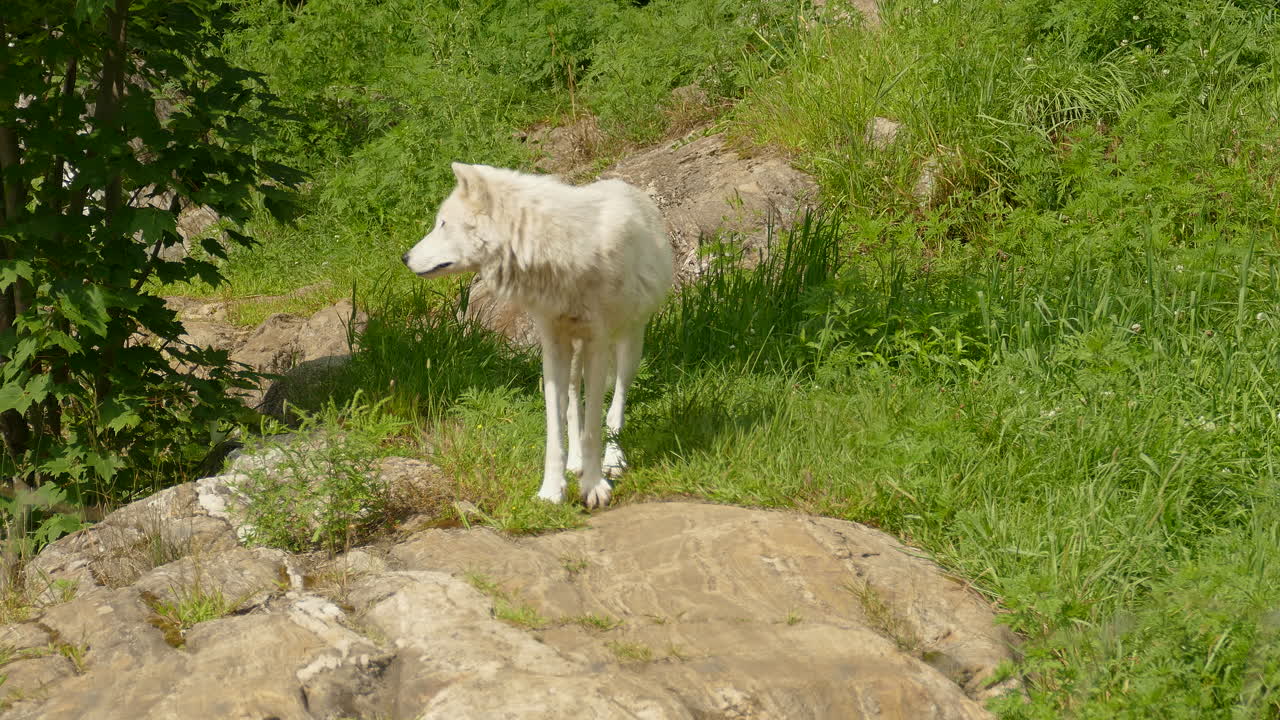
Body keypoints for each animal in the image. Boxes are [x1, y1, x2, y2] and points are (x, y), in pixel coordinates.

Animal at [403, 163, 673, 508]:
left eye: (443, 224)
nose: (405, 258)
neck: (560, 247)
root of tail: (626, 187)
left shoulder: (597, 344)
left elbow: (594, 428)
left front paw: (593, 486)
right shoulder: (553, 346)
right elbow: (556, 428)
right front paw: (552, 490)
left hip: (629, 344)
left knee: (616, 408)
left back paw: (612, 460)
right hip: (575, 351)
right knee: (573, 405)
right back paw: (576, 463)